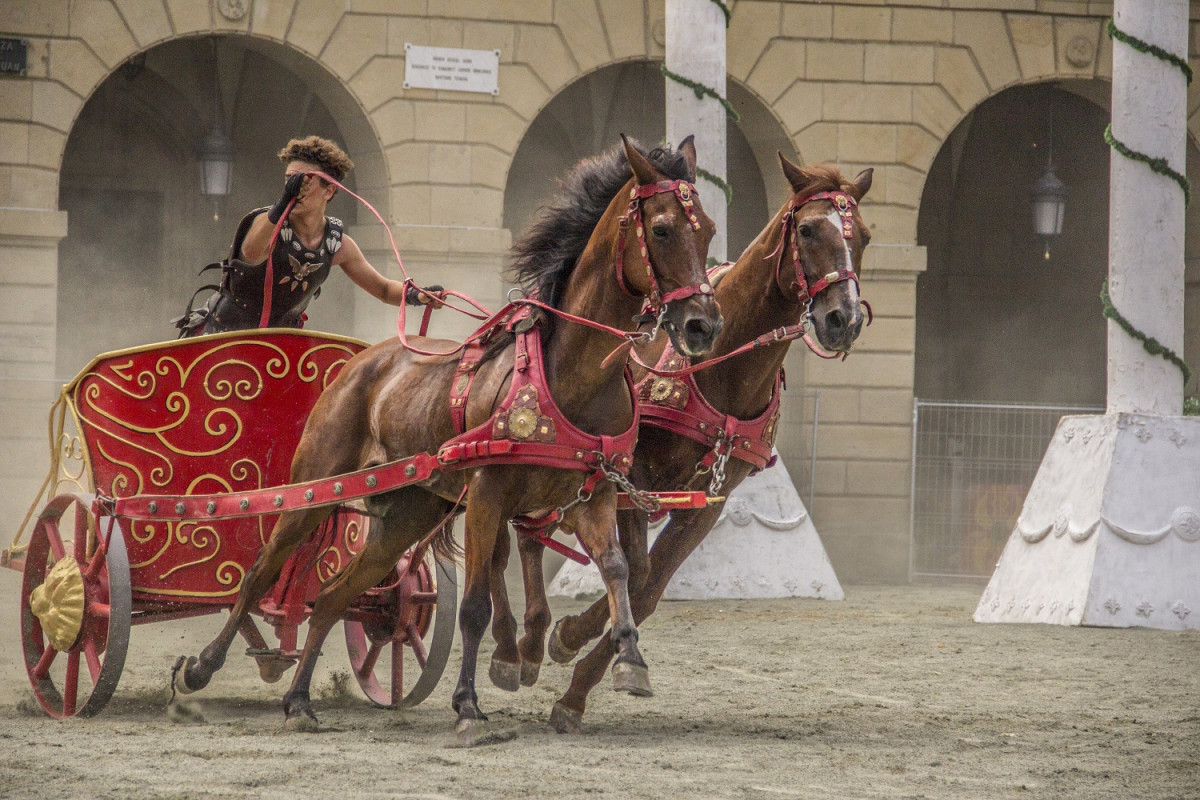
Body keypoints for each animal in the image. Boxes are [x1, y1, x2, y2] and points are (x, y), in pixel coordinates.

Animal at [175, 134, 720, 743]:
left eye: (709, 230)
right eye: (663, 229)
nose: (704, 325)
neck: (569, 373)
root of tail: (363, 360)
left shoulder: (596, 493)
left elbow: (617, 568)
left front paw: (630, 659)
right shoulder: (486, 495)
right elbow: (477, 605)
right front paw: (468, 705)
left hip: (408, 512)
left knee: (333, 597)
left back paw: (298, 700)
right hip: (314, 488)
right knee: (259, 573)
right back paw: (203, 668)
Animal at [487, 154, 873, 734]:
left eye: (865, 237)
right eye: (807, 229)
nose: (842, 319)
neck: (722, 365)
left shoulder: (709, 502)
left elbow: (647, 591)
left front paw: (579, 680)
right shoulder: (632, 477)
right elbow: (636, 571)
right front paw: (573, 639)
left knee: (539, 529)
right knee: (531, 532)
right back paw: (529, 639)